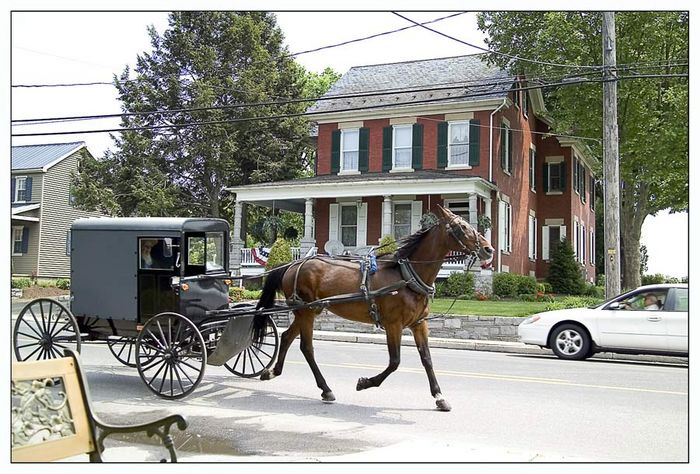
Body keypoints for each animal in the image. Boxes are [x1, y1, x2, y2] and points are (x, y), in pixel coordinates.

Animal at [252, 205, 492, 412]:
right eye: (461, 227)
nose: (488, 249)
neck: (406, 276)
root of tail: (291, 265)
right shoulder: (393, 324)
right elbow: (395, 362)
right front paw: (365, 382)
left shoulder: (419, 324)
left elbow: (427, 359)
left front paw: (439, 397)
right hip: (306, 311)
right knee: (306, 347)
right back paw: (326, 388)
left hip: (308, 310)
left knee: (286, 337)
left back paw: (273, 371)